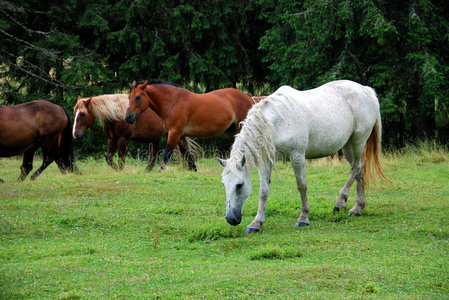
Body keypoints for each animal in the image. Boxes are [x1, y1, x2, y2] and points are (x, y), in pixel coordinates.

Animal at [124, 80, 254, 171]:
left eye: (138, 97)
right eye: (129, 97)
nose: (128, 118)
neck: (172, 101)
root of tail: (248, 97)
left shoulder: (174, 132)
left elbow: (168, 152)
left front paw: (160, 170)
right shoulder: (180, 135)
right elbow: (187, 154)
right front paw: (194, 170)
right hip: (231, 131)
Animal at [218, 80, 388, 234]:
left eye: (239, 185)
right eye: (224, 184)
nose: (231, 219)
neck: (276, 122)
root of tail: (366, 90)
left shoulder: (297, 157)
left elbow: (302, 186)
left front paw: (303, 218)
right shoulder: (266, 161)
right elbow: (263, 191)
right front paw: (256, 223)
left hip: (359, 140)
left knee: (357, 167)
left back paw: (340, 203)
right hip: (348, 145)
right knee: (359, 170)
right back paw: (358, 208)